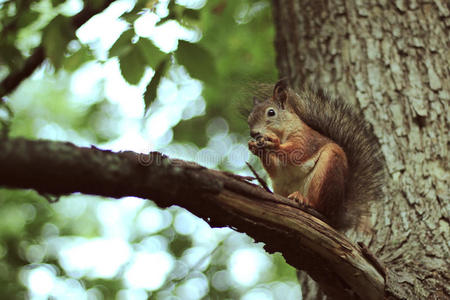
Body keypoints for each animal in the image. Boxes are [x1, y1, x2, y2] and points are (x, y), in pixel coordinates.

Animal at [244, 79, 384, 230]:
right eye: (249, 119)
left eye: (271, 112)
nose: (254, 133)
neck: (284, 131)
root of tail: (338, 213)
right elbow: (276, 170)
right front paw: (255, 148)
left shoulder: (305, 139)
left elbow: (297, 153)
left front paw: (273, 143)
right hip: (280, 186)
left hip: (327, 170)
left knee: (321, 207)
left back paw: (305, 200)